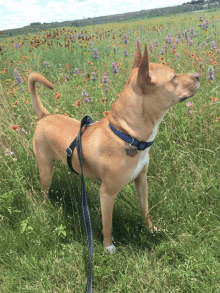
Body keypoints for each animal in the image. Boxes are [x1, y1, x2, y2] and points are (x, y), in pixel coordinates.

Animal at [27, 42, 199, 252]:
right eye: (174, 77)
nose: (199, 75)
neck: (127, 135)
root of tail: (45, 116)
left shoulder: (141, 180)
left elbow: (145, 209)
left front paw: (150, 229)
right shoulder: (107, 193)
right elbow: (107, 224)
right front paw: (108, 246)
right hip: (45, 171)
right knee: (43, 192)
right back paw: (45, 207)